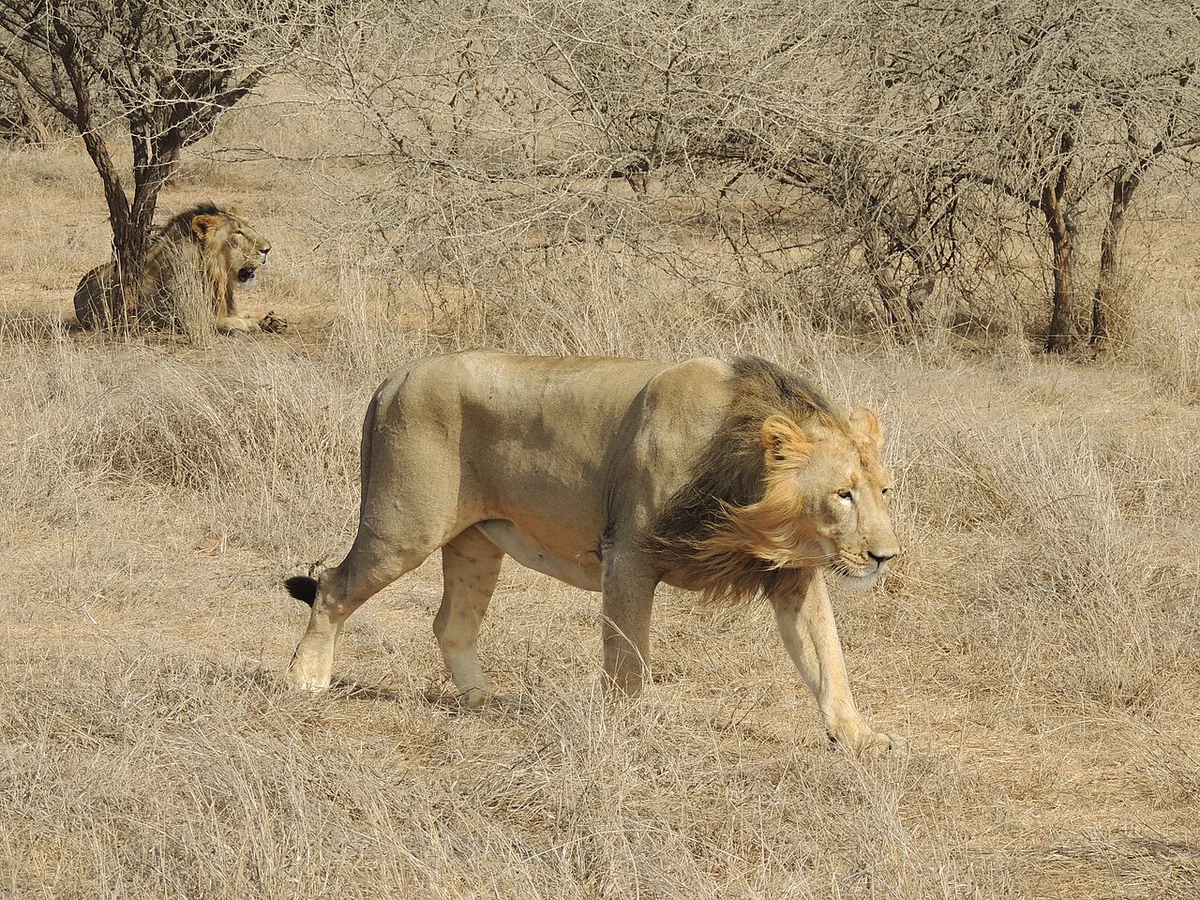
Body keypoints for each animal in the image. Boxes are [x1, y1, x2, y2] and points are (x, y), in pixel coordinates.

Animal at [73, 203, 272, 334]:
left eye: (248, 226)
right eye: (238, 232)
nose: (267, 249)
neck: (215, 275)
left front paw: (270, 320)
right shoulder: (182, 318)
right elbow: (223, 322)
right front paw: (248, 324)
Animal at [285, 352, 904, 751]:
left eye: (883, 491)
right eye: (842, 494)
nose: (886, 556)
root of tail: (394, 377)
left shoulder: (794, 577)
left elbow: (829, 657)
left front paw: (857, 735)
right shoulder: (627, 552)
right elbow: (627, 656)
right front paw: (626, 729)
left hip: (475, 543)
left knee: (451, 622)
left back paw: (482, 701)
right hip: (403, 526)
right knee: (333, 587)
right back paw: (307, 679)